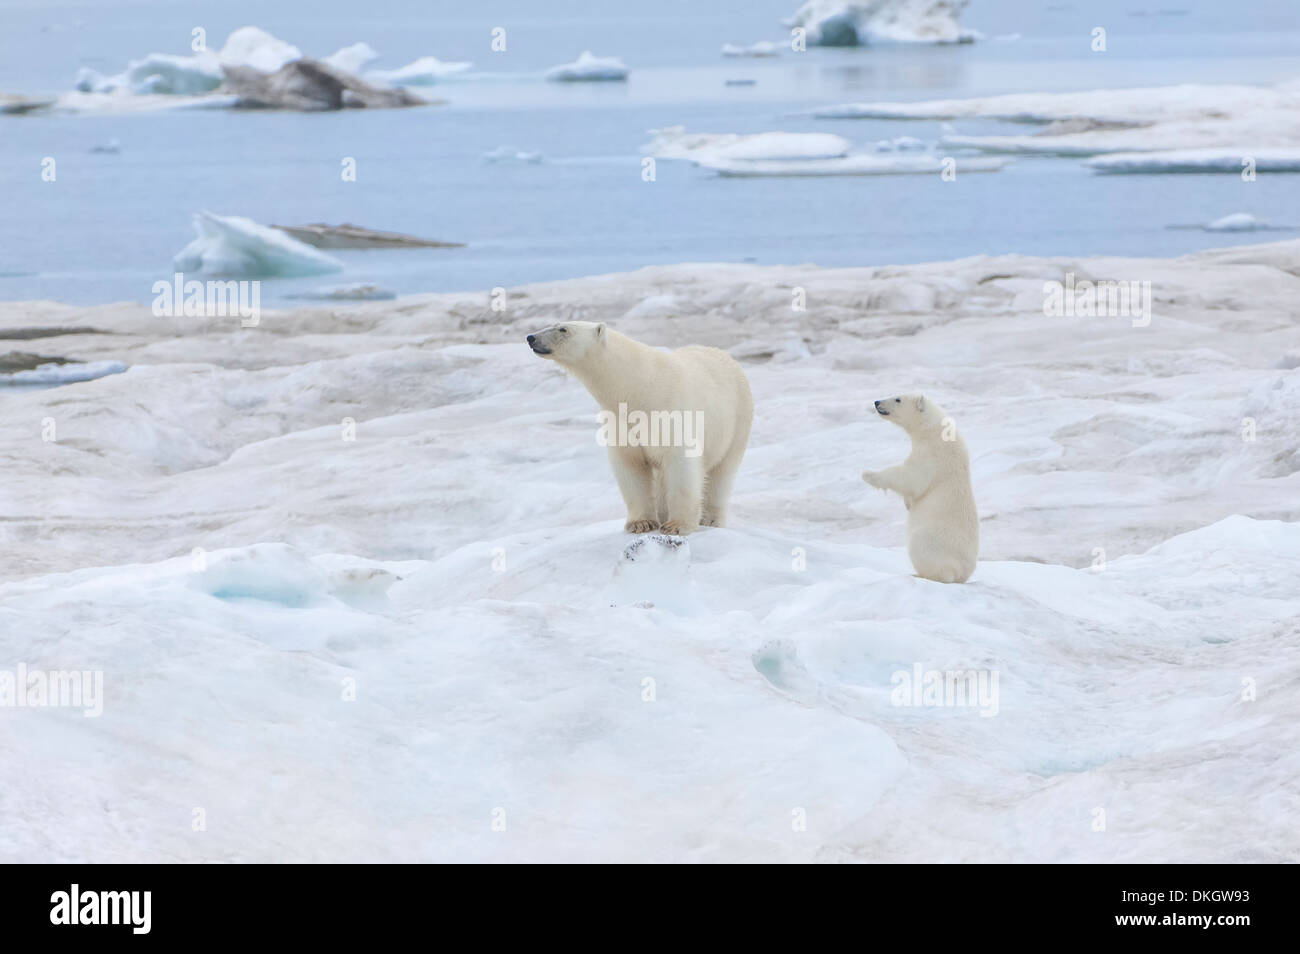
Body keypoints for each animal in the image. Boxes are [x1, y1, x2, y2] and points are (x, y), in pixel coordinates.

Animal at [525, 324, 754, 538]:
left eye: (563, 328)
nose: (531, 337)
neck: (640, 387)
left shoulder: (673, 414)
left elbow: (681, 467)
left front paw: (677, 525)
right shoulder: (621, 423)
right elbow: (630, 466)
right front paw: (641, 523)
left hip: (737, 420)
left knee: (722, 472)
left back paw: (711, 519)